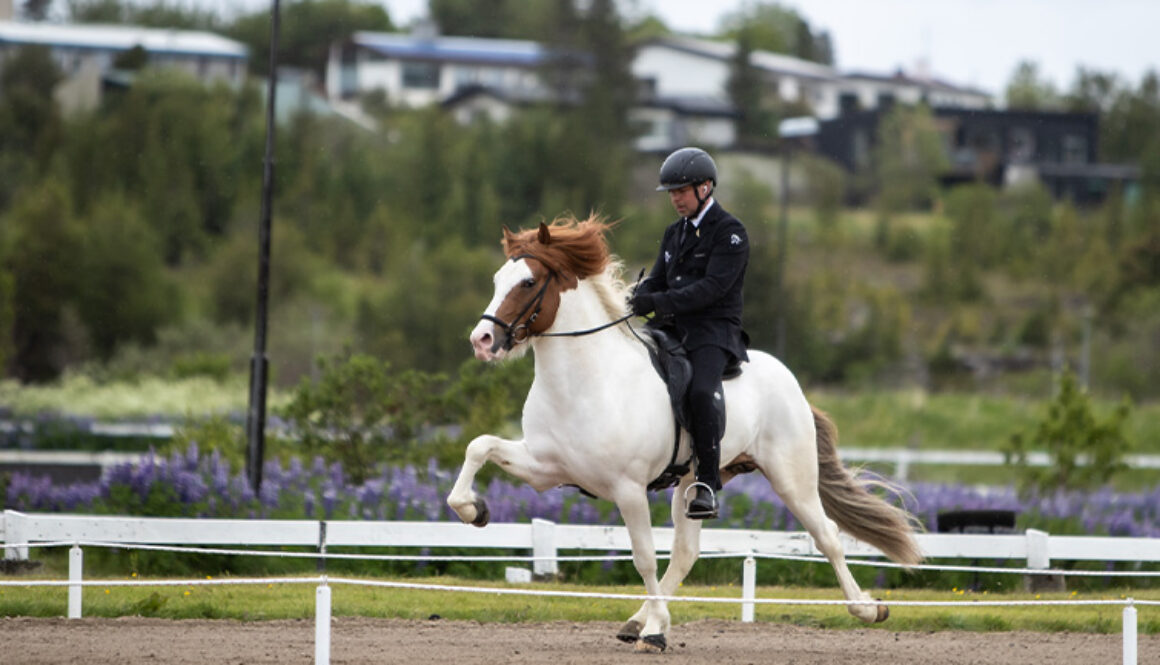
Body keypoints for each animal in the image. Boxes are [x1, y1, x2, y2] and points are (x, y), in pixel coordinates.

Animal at [445, 214, 923, 649]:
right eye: (497, 279)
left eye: (527, 282)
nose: (481, 340)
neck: (586, 382)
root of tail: (791, 382)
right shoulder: (545, 469)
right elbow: (479, 447)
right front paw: (474, 509)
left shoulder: (628, 489)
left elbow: (642, 559)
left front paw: (657, 634)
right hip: (695, 482)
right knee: (686, 553)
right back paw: (639, 621)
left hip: (792, 478)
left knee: (827, 536)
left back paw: (867, 608)